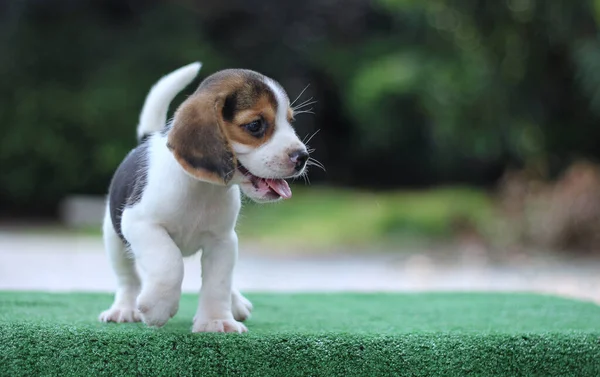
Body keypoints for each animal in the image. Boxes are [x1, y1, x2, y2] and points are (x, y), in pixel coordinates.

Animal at [98, 62, 310, 332]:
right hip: (113, 237)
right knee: (128, 278)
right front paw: (158, 306)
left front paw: (216, 320)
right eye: (255, 125)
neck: (203, 188)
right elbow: (169, 263)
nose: (302, 157)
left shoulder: (223, 241)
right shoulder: (140, 223)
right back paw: (124, 309)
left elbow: (218, 283)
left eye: (290, 121)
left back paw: (235, 302)